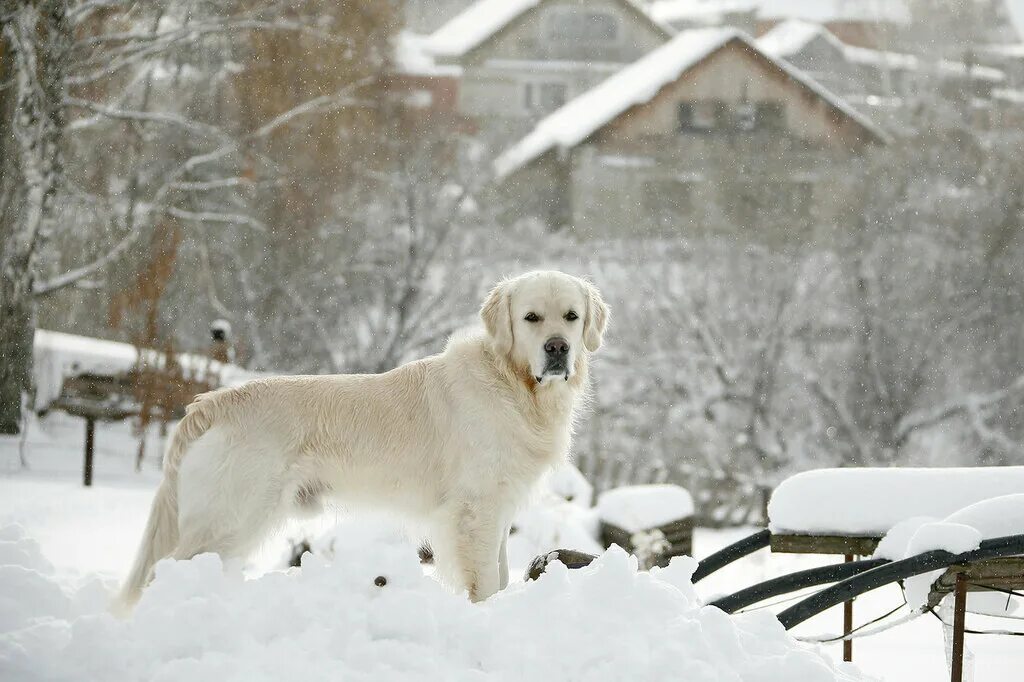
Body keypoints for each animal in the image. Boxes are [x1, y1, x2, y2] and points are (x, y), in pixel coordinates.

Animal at [119, 268, 606, 602]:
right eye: (531, 318)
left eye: (571, 316)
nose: (558, 348)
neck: (512, 384)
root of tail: (209, 402)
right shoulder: (475, 510)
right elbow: (486, 580)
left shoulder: (499, 507)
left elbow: (502, 574)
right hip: (233, 515)